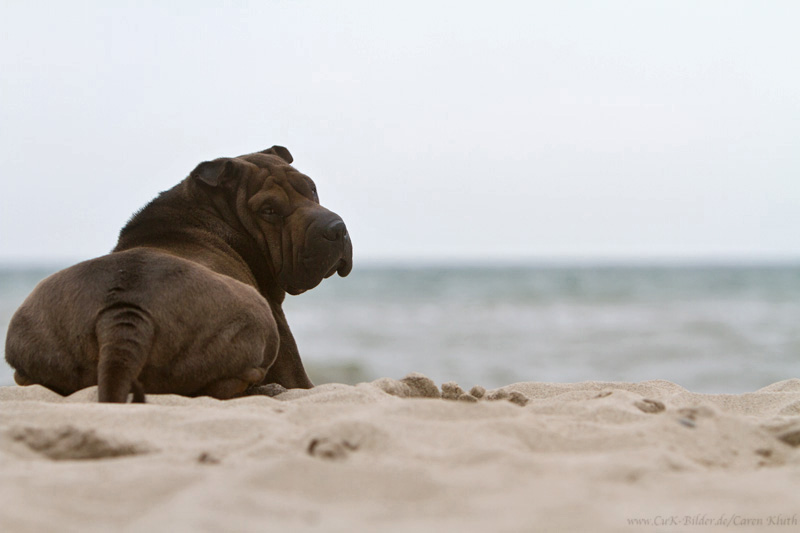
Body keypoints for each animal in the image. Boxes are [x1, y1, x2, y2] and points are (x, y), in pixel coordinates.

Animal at [4, 143, 352, 402]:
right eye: (269, 210)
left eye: (312, 189)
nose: (335, 229)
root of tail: (121, 316)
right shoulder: (281, 326)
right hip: (259, 317)